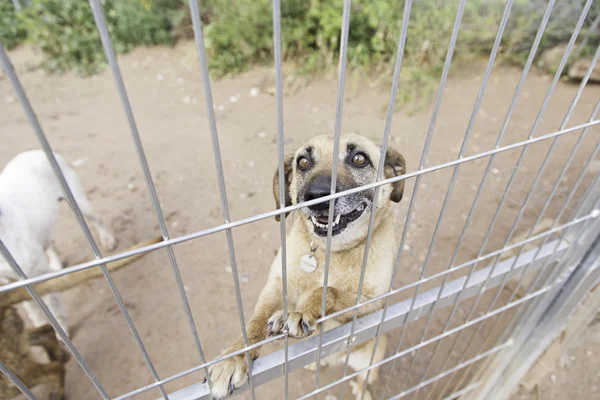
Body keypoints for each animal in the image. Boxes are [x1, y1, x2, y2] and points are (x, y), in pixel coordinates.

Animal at [0, 150, 116, 338]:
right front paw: (39, 327)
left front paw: (61, 333)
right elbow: (33, 310)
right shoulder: (15, 284)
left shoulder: (38, 277)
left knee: (98, 219)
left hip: (79, 203)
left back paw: (108, 238)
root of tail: (38, 151)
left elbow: (54, 310)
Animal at [207, 135, 408, 400]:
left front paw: (301, 312)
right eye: (303, 162)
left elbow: (327, 290)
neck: (329, 251)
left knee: (364, 379)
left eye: (359, 158)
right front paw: (233, 358)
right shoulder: (277, 284)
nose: (317, 196)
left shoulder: (374, 303)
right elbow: (255, 321)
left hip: (369, 360)